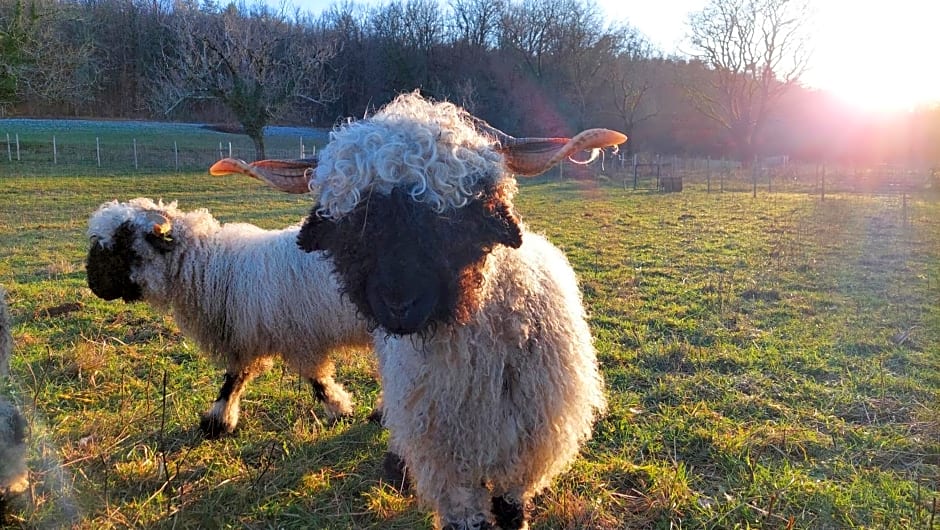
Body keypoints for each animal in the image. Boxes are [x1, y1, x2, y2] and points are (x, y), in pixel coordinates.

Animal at [83, 198, 370, 438]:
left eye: (122, 245)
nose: (93, 285)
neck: (211, 267)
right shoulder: (247, 339)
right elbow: (235, 379)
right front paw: (218, 422)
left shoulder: (293, 339)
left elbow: (314, 380)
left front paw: (340, 409)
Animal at [210, 93, 628, 524]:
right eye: (351, 227)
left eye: (462, 217)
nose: (399, 305)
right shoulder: (448, 467)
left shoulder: (524, 458)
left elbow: (511, 512)